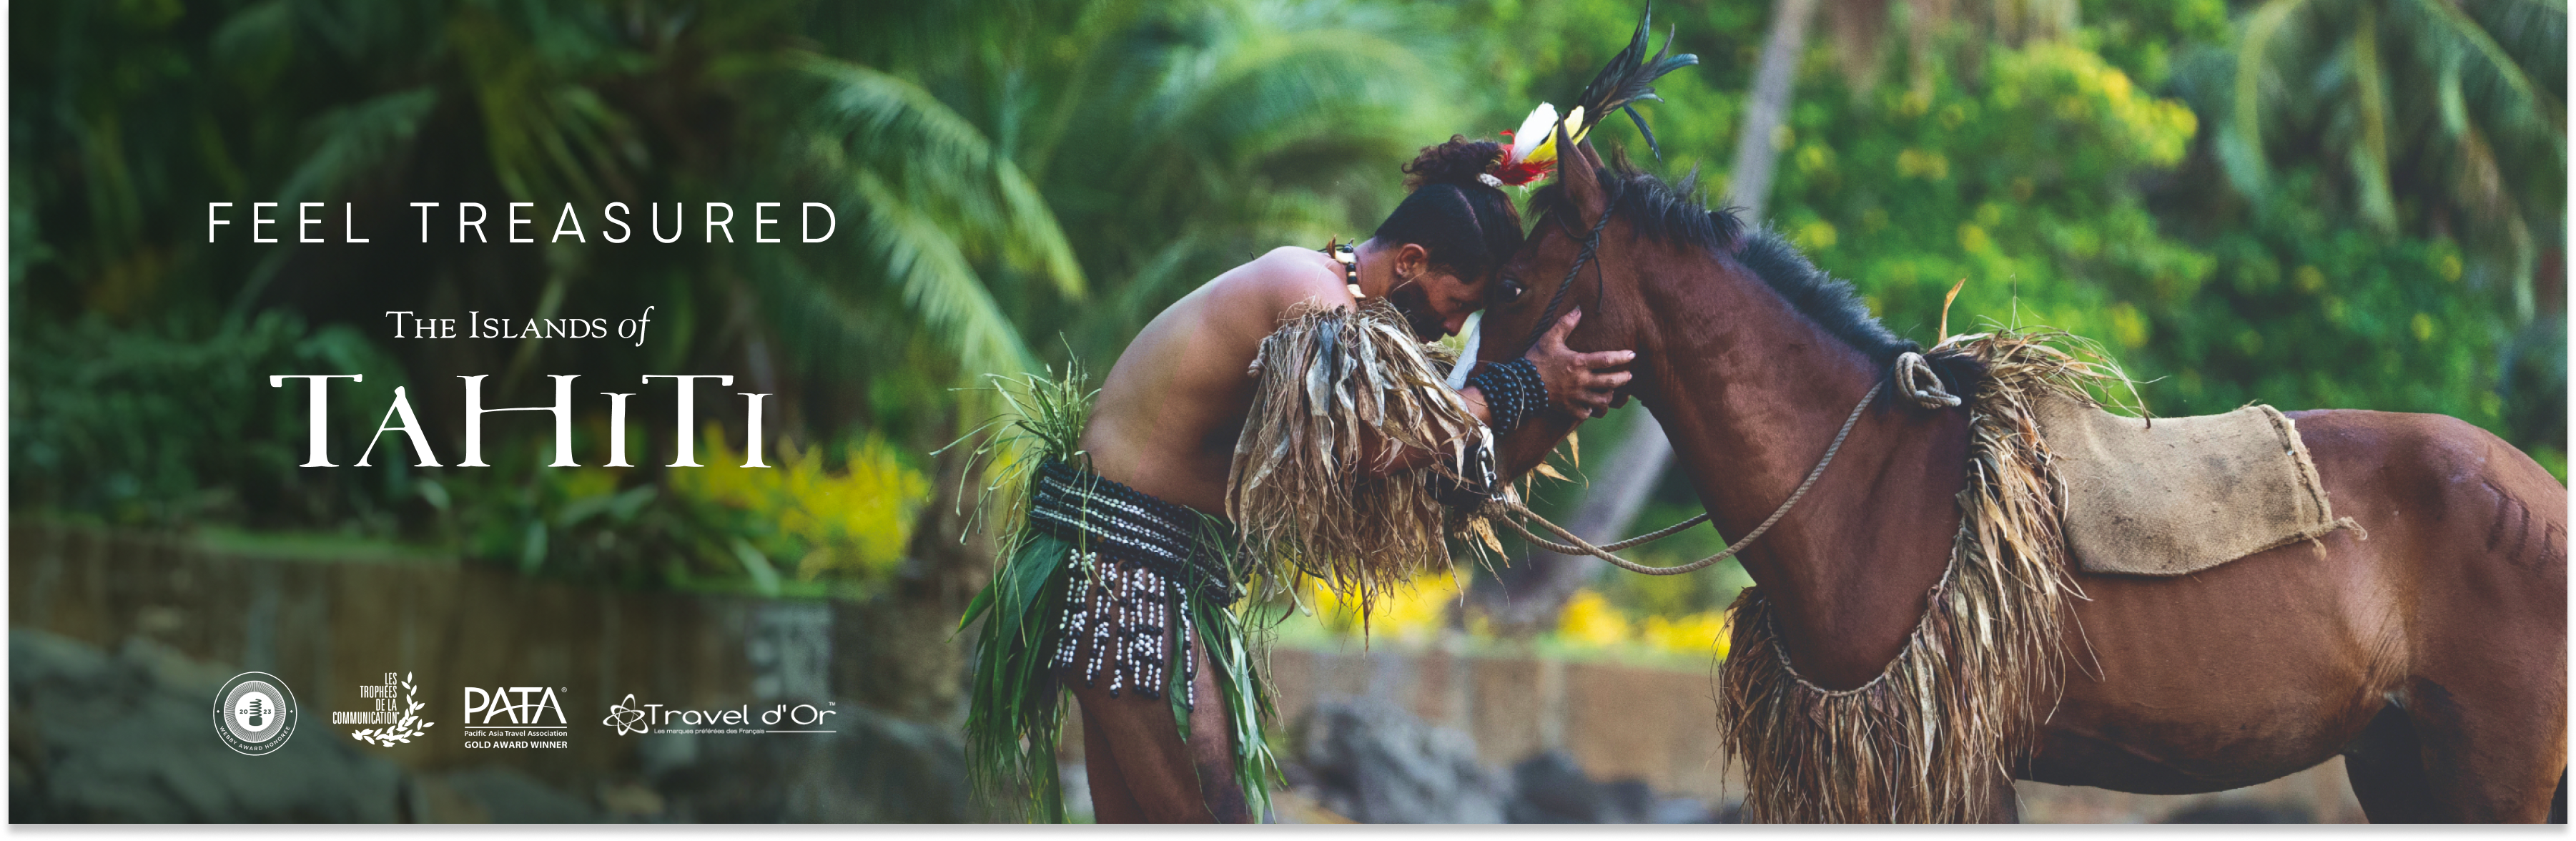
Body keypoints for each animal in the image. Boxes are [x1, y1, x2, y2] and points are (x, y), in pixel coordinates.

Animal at [1472, 138, 2570, 823]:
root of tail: (2539, 500)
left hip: (2493, 768)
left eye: (1517, 284)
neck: (1865, 487)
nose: (1472, 445)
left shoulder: (1951, 768)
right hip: (2400, 759)